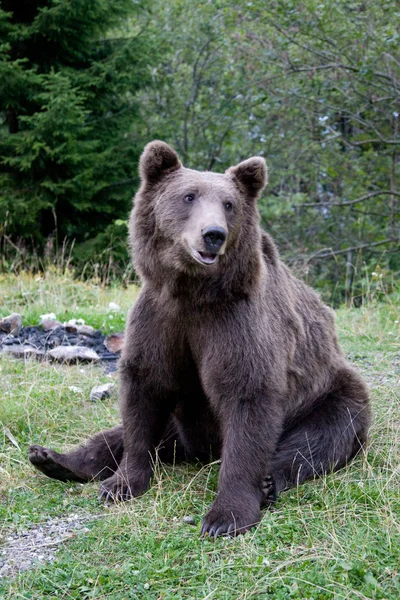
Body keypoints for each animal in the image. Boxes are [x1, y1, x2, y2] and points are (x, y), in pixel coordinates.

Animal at [29, 142, 370, 540]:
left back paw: (269, 482)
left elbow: (247, 398)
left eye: (229, 204)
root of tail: (197, 452)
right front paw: (121, 484)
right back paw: (53, 459)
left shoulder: (235, 324)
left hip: (329, 394)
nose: (213, 234)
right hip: (178, 426)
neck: (192, 291)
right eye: (188, 196)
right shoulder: (159, 319)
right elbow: (141, 396)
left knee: (317, 440)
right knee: (117, 435)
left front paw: (225, 516)